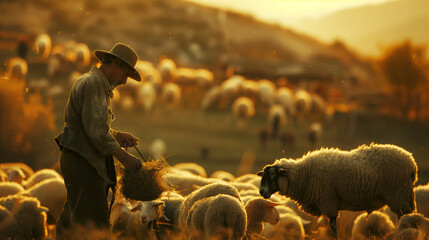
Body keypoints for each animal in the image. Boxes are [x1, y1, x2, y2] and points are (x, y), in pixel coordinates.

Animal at [258, 143, 418, 237]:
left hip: (399, 195)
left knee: (405, 218)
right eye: (263, 174)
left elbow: (333, 228)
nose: (261, 192)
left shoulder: (329, 202)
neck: (305, 175)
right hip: (403, 196)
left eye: (273, 174)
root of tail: (412, 163)